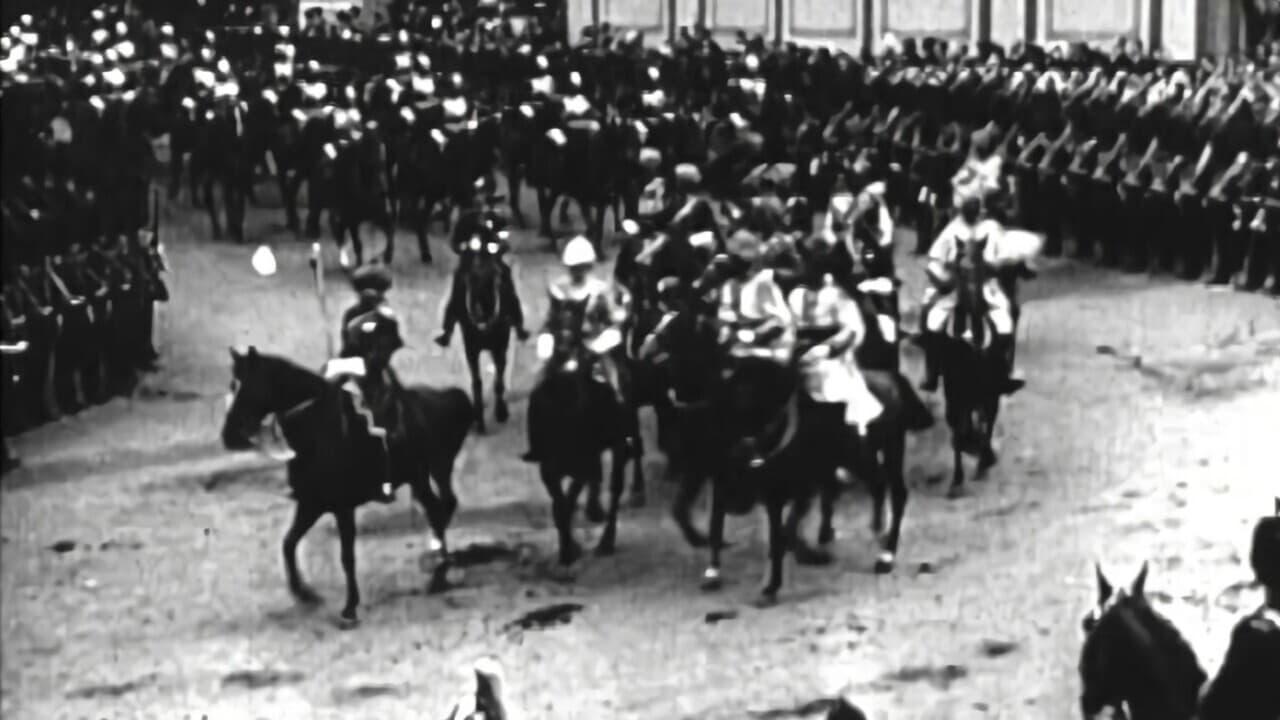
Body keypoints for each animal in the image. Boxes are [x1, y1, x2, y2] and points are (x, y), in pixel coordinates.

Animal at [220, 345, 476, 620]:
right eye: (232, 383)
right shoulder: (310, 504)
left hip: (435, 470)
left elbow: (346, 557)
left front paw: (350, 607)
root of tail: (452, 395)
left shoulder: (343, 509)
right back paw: (438, 559)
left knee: (442, 508)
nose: (228, 435)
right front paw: (303, 593)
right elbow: (288, 543)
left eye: (248, 385)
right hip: (422, 478)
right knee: (437, 509)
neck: (319, 430)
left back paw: (439, 564)